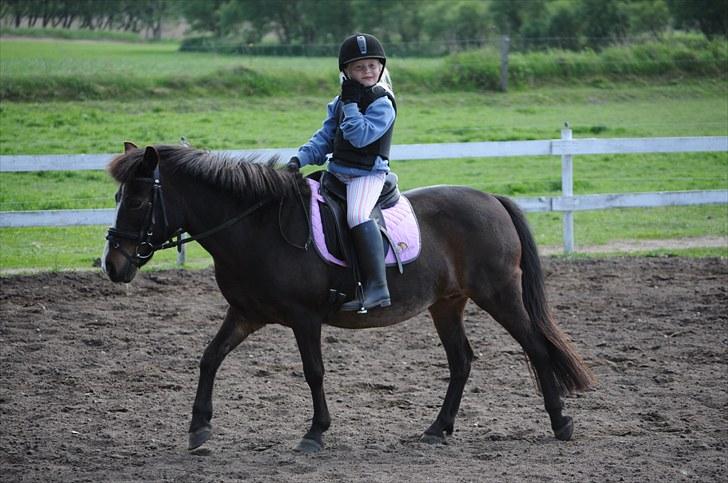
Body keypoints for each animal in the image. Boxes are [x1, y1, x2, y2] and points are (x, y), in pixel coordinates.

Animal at [101, 143, 592, 454]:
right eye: (118, 196)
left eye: (139, 201)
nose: (113, 265)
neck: (255, 227)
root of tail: (491, 198)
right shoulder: (245, 314)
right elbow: (209, 358)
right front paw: (199, 428)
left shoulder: (304, 318)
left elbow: (313, 372)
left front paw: (315, 434)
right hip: (447, 303)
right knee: (461, 361)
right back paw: (438, 429)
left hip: (499, 294)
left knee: (535, 347)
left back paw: (560, 422)